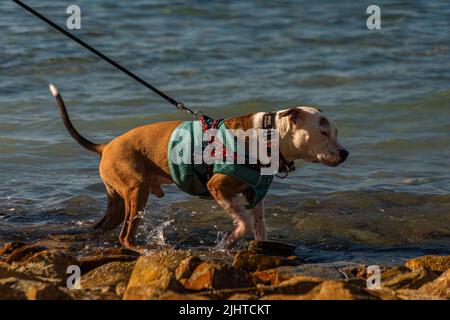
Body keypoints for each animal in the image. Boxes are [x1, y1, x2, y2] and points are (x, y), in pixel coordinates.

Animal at [49, 82, 348, 250]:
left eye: (336, 131)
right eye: (323, 132)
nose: (345, 153)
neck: (268, 136)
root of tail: (106, 145)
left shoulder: (255, 194)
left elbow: (259, 225)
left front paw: (260, 245)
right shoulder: (219, 188)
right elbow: (243, 222)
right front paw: (228, 242)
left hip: (120, 198)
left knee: (104, 227)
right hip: (137, 190)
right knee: (125, 234)